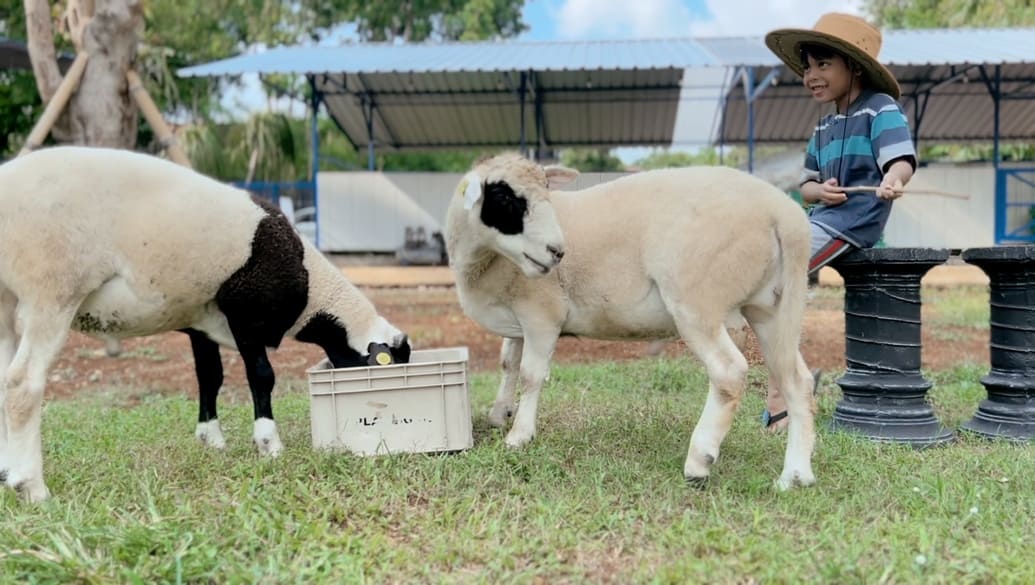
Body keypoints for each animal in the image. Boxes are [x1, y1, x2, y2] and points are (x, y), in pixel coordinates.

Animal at [0, 147, 411, 501]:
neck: (312, 288)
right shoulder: (245, 313)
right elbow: (261, 376)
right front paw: (269, 443)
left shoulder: (201, 321)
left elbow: (209, 376)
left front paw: (211, 438)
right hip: (51, 288)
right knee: (22, 383)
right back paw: (32, 487)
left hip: (5, 303)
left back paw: (7, 471)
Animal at [445, 154, 815, 488]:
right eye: (505, 197)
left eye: (545, 193)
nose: (557, 251)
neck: (485, 263)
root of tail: (784, 213)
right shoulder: (517, 315)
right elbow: (508, 363)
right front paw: (499, 414)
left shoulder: (542, 313)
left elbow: (530, 375)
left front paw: (519, 435)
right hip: (771, 306)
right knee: (797, 381)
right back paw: (795, 476)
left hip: (696, 298)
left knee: (729, 371)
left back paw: (700, 460)